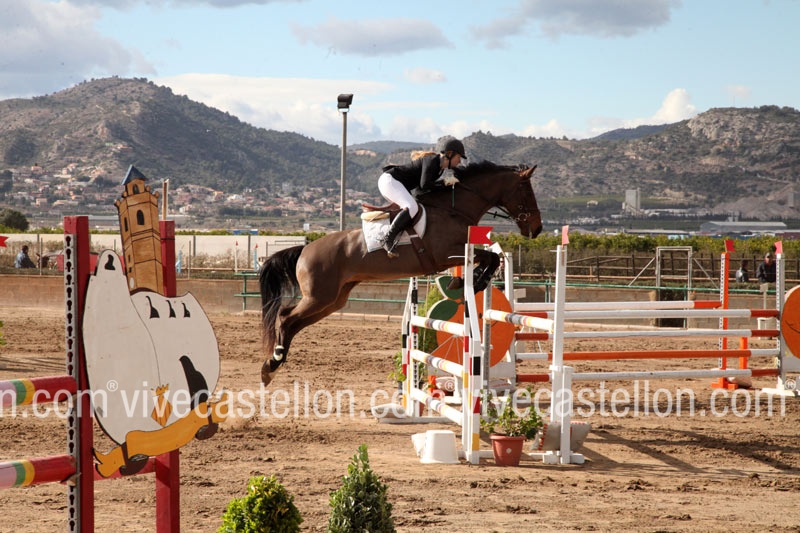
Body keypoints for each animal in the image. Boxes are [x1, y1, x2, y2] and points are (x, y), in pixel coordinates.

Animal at [258, 161, 542, 385]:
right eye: (526, 192)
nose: (537, 229)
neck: (454, 208)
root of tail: (305, 249)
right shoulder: (448, 253)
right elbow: (491, 257)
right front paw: (473, 281)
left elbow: (491, 257)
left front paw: (466, 281)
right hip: (319, 297)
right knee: (285, 318)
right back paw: (271, 364)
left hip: (333, 300)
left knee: (293, 322)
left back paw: (273, 364)